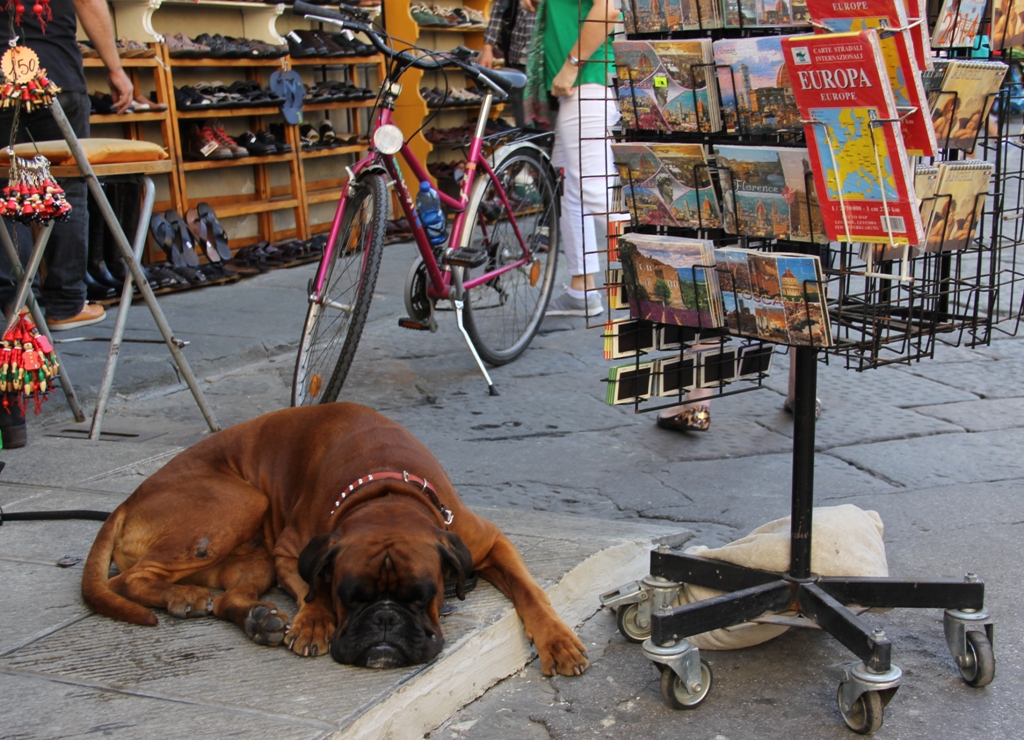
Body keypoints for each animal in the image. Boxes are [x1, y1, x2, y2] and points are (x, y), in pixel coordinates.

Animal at [82, 405, 589, 675]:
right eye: (351, 598)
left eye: (422, 597)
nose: (385, 619)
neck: (384, 491)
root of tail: (127, 500)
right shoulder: (291, 551)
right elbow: (313, 587)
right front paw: (313, 622)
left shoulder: (487, 542)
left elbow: (530, 591)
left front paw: (558, 641)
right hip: (240, 503)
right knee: (128, 579)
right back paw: (186, 596)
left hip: (252, 554)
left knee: (225, 597)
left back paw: (257, 619)